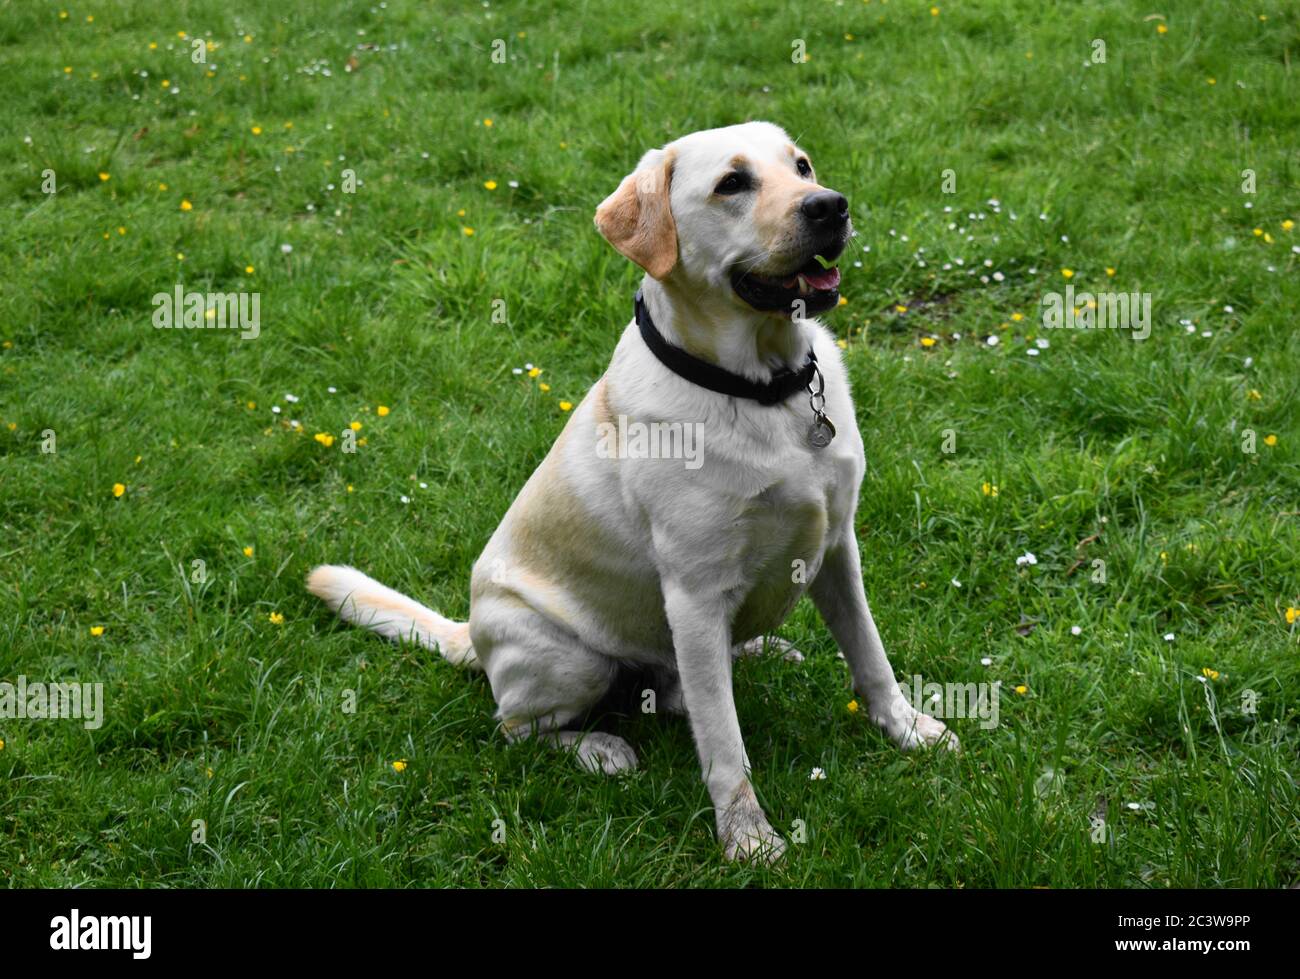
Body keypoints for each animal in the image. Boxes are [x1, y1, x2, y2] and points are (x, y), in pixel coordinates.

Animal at [305, 120, 956, 852]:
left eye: (802, 166)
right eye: (732, 183)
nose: (830, 206)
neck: (762, 388)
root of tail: (470, 634)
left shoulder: (838, 544)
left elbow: (870, 655)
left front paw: (910, 729)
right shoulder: (694, 594)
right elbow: (724, 743)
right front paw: (748, 838)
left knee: (679, 689)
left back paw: (755, 649)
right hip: (568, 657)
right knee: (519, 726)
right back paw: (598, 748)